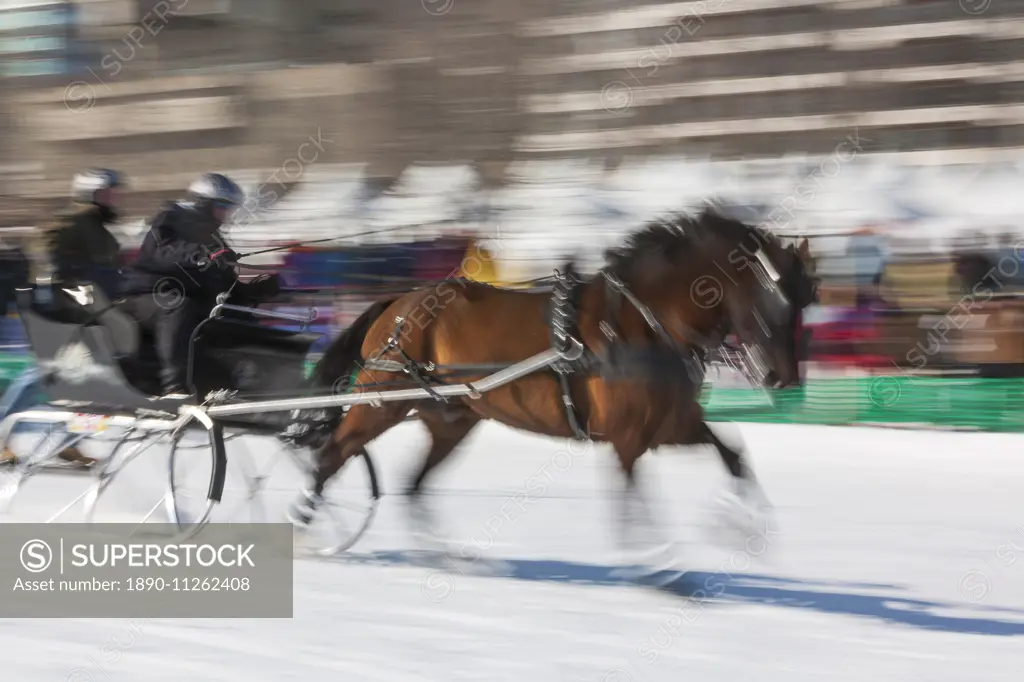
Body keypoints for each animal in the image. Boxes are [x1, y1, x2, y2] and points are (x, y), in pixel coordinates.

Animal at [292, 208, 819, 557]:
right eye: (770, 299)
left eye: (803, 301)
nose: (784, 377)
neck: (644, 322)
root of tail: (399, 303)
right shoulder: (628, 439)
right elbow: (633, 503)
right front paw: (658, 567)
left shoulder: (670, 427)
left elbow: (733, 455)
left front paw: (740, 528)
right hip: (380, 402)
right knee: (331, 456)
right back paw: (306, 526)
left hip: (451, 418)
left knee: (413, 483)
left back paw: (447, 556)